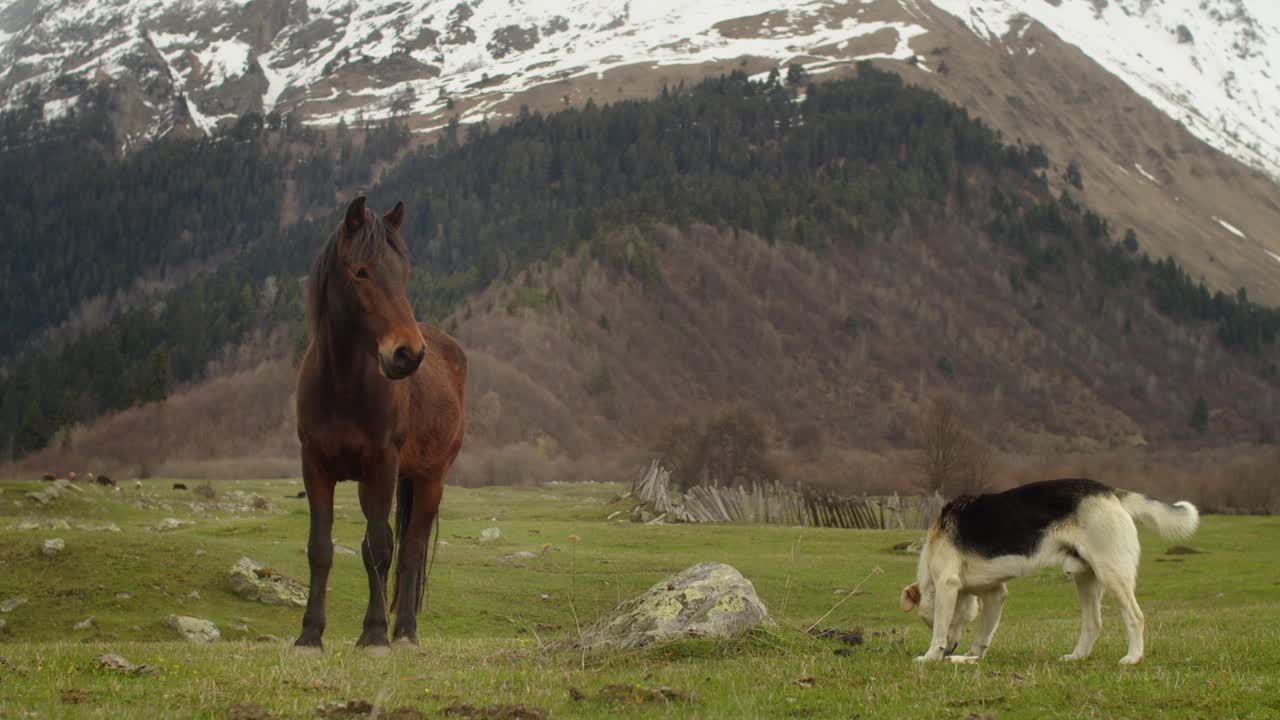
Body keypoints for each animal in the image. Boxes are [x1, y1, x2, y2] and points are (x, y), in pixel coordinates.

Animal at [294, 193, 465, 648]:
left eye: (403, 273)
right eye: (361, 272)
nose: (408, 353)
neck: (342, 387)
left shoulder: (383, 466)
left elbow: (379, 549)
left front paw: (374, 635)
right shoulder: (314, 466)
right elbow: (320, 548)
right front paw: (309, 635)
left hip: (430, 481)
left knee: (412, 551)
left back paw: (404, 633)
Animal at [901, 476, 1198, 661]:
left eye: (927, 623)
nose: (950, 652)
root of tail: (1109, 491)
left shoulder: (947, 585)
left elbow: (941, 630)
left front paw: (930, 656)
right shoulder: (995, 594)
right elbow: (983, 634)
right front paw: (972, 658)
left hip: (1112, 575)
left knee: (1136, 617)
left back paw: (1133, 658)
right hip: (1086, 578)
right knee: (1094, 622)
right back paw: (1077, 657)